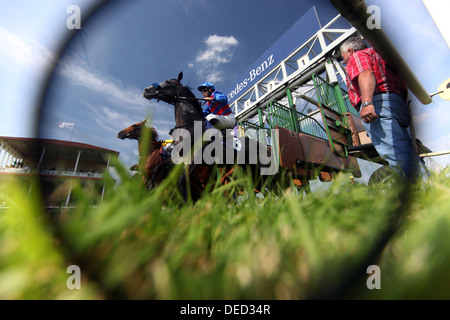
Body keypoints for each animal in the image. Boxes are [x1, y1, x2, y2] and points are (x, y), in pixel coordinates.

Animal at [143, 72, 278, 202]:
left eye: (168, 82)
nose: (146, 90)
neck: (190, 127)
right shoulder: (179, 157)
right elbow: (158, 168)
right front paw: (150, 189)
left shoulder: (198, 158)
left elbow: (182, 179)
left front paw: (187, 204)